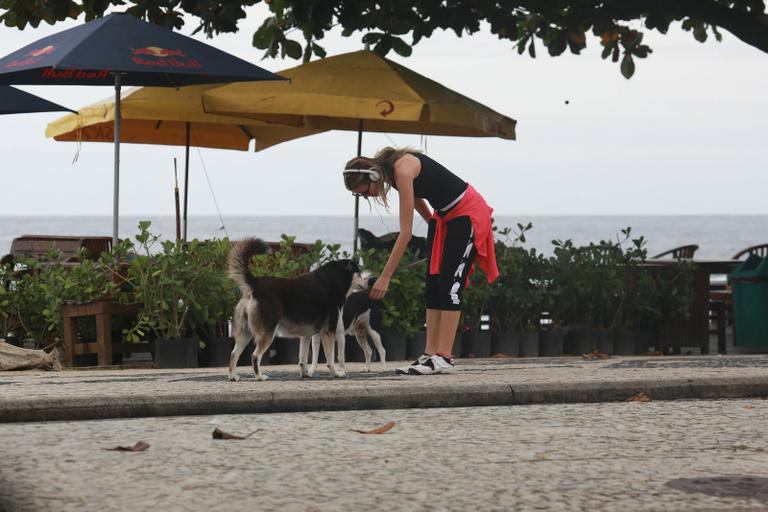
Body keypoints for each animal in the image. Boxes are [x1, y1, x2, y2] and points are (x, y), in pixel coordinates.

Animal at [228, 239, 368, 380]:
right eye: (359, 273)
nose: (369, 282)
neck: (334, 279)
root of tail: (255, 284)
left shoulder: (306, 335)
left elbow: (303, 358)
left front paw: (305, 374)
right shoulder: (329, 331)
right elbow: (330, 359)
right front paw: (336, 373)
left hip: (245, 333)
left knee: (234, 354)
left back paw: (233, 376)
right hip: (268, 332)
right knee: (255, 356)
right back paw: (260, 377)